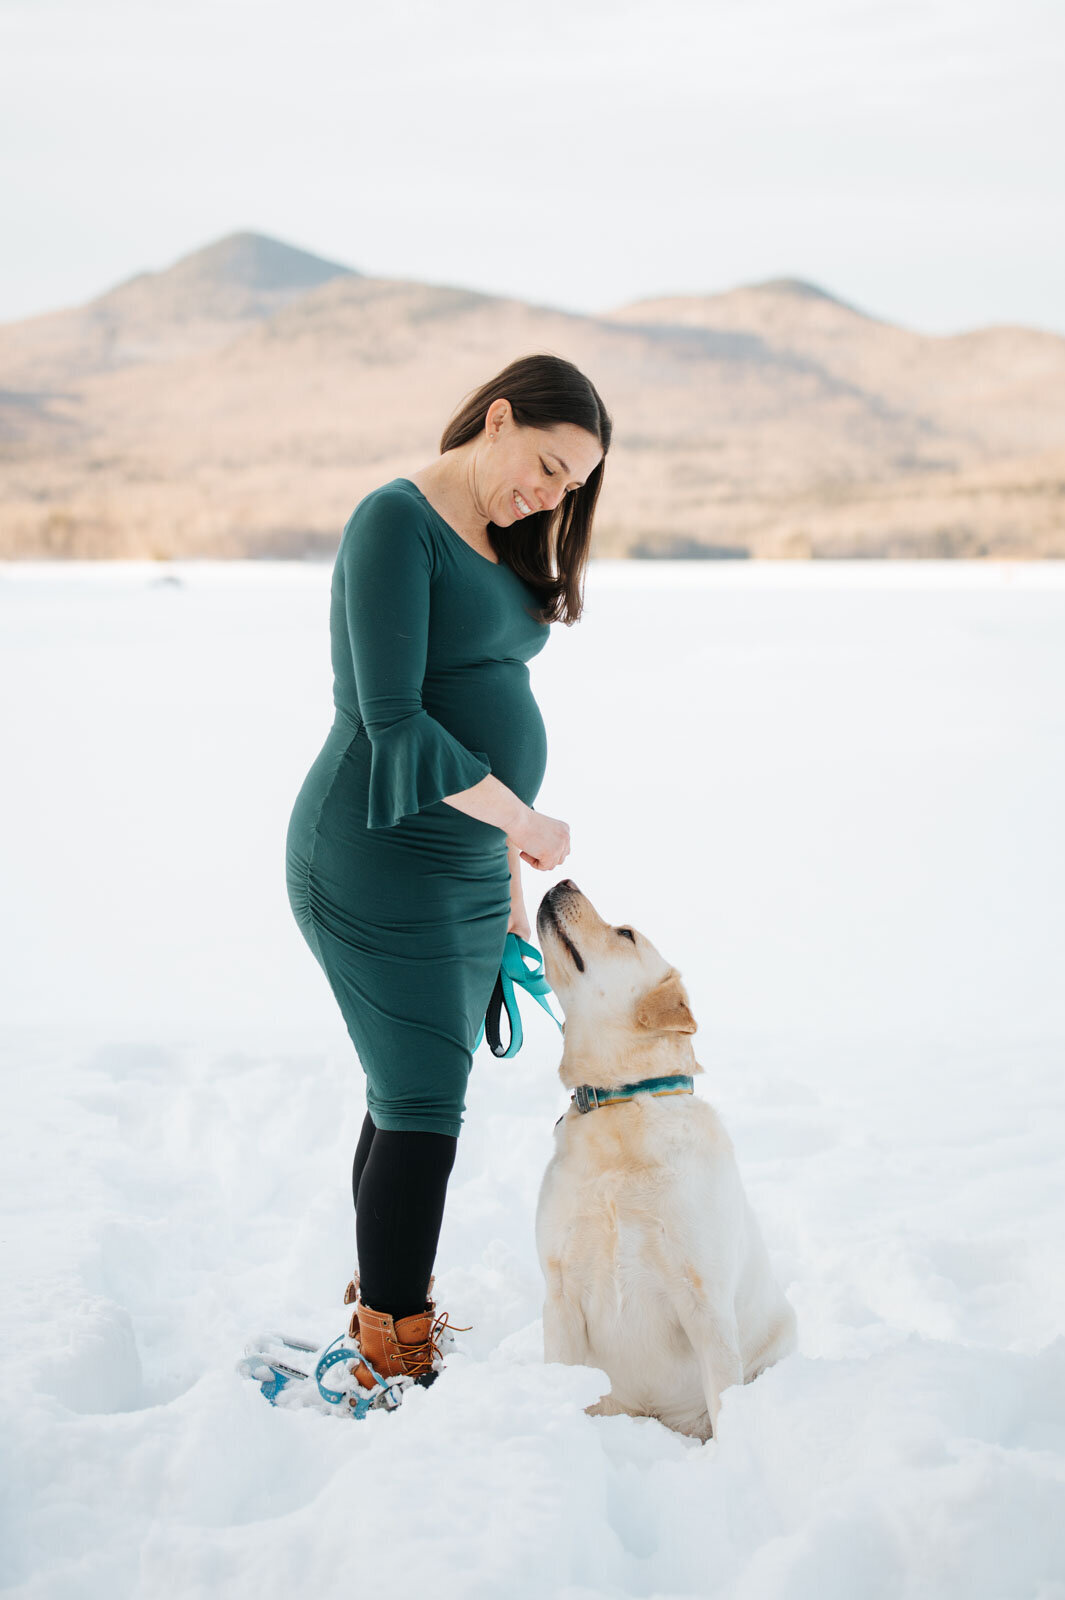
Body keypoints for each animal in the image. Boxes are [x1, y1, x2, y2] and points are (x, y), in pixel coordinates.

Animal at [534, 883, 793, 1446]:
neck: (622, 1103)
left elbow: (724, 1398)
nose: (562, 884)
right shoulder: (559, 1295)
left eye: (625, 934)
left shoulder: (705, 1302)